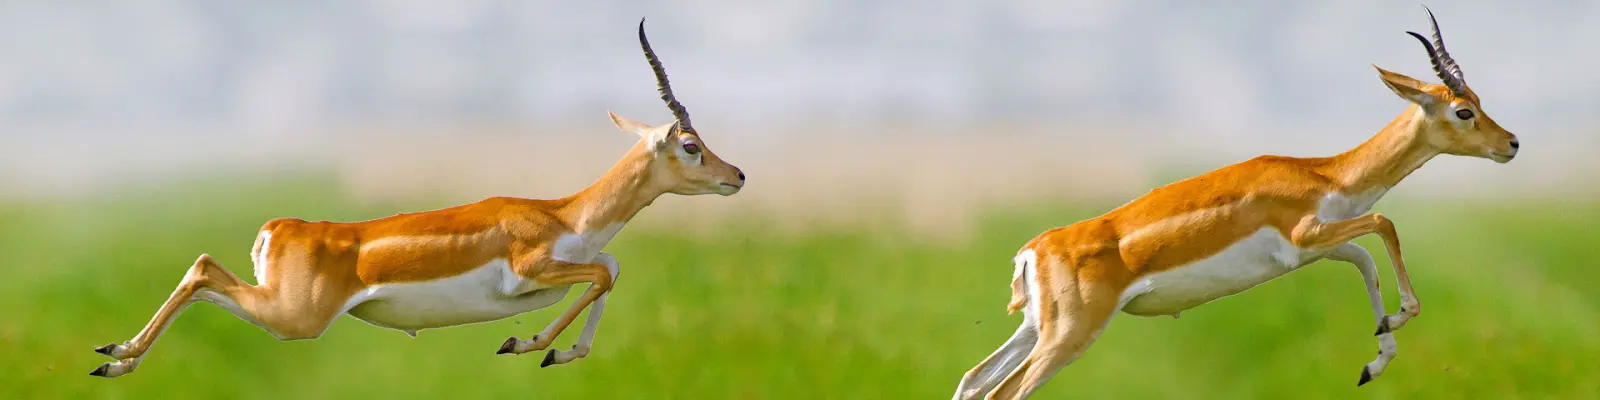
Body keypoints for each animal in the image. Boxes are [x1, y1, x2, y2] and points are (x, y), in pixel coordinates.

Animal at [89, 20, 745, 378]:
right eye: (690, 145)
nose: (737, 175)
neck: (564, 213)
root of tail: (281, 228)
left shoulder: (574, 265)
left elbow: (610, 269)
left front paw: (550, 354)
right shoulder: (532, 270)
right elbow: (604, 274)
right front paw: (523, 343)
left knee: (202, 269)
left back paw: (115, 359)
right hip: (294, 318)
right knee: (202, 271)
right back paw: (115, 354)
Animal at [953, 8, 1518, 399]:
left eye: (1479, 100)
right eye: (1463, 111)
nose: (1511, 143)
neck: (1323, 172)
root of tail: (1034, 250)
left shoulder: (1321, 246)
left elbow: (1366, 263)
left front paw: (1374, 358)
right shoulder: (1307, 236)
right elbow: (1384, 222)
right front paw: (1394, 326)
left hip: (1034, 329)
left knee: (972, 381)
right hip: (1069, 335)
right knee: (1004, 392)